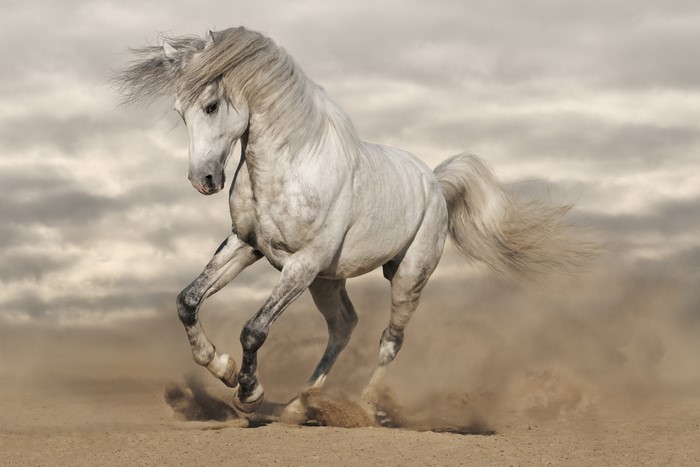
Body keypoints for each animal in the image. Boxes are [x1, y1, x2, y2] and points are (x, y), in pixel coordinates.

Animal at [117, 27, 592, 423]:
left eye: (211, 105)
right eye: (179, 111)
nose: (203, 180)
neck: (291, 166)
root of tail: (435, 184)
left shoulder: (302, 264)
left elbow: (254, 329)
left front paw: (248, 392)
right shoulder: (246, 246)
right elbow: (188, 300)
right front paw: (222, 367)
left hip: (406, 277)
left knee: (389, 340)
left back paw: (363, 407)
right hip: (328, 282)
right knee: (344, 326)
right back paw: (299, 406)